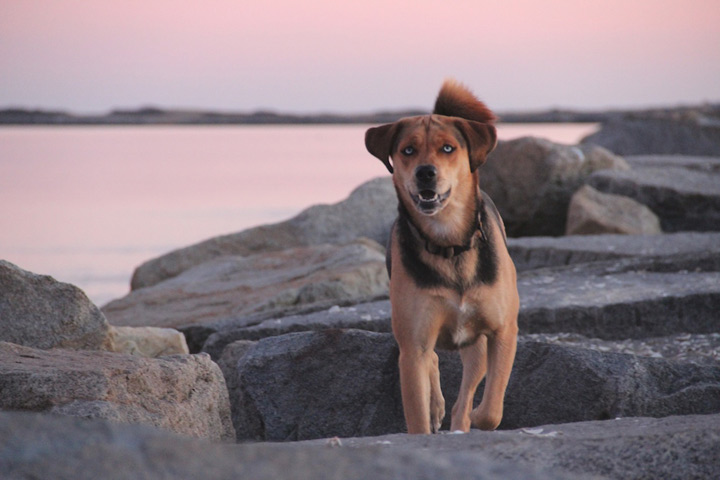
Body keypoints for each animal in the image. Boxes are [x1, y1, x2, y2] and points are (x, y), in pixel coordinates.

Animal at [366, 79, 516, 436]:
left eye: (448, 148)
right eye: (407, 150)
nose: (425, 173)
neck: (447, 242)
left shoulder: (503, 330)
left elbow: (491, 409)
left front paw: (477, 416)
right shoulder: (414, 344)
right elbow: (417, 415)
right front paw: (429, 415)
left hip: (476, 346)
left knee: (468, 390)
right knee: (433, 363)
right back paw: (437, 406)